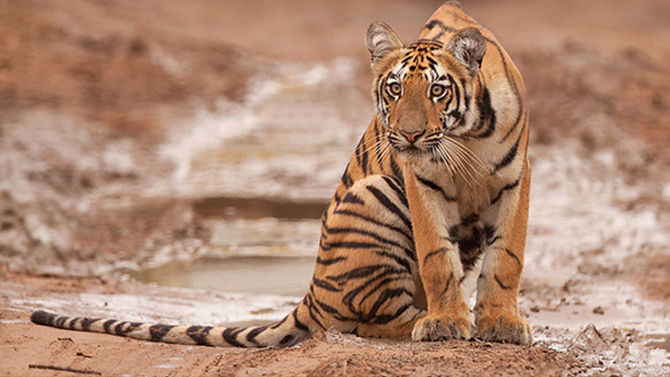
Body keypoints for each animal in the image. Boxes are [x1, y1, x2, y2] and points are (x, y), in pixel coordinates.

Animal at [32, 0, 536, 346]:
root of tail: (310, 291)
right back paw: (420, 320)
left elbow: (506, 257)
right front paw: (447, 322)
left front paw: (501, 324)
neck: (463, 138)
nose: (409, 135)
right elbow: (437, 256)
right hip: (375, 193)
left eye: (437, 90)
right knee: (372, 322)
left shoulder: (516, 178)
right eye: (394, 90)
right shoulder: (420, 178)